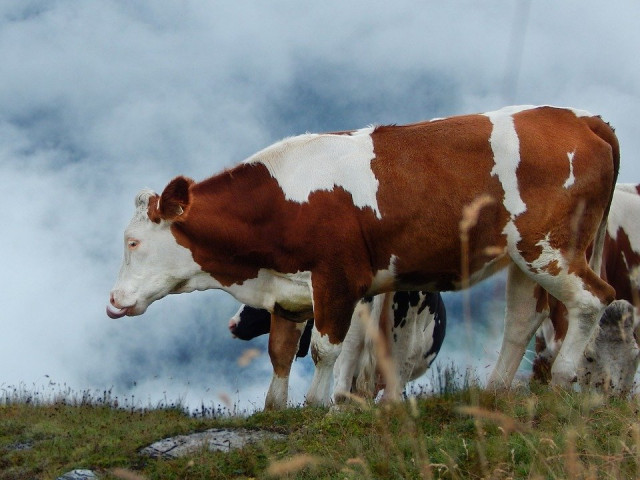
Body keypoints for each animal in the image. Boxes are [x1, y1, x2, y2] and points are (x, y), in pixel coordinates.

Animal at [109, 105, 620, 398]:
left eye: (133, 242)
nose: (113, 301)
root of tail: (578, 117)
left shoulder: (338, 280)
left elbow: (325, 353)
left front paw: (315, 409)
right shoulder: (289, 292)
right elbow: (280, 354)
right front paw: (277, 413)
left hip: (549, 248)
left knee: (592, 299)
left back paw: (561, 382)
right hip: (523, 256)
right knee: (522, 320)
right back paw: (496, 394)